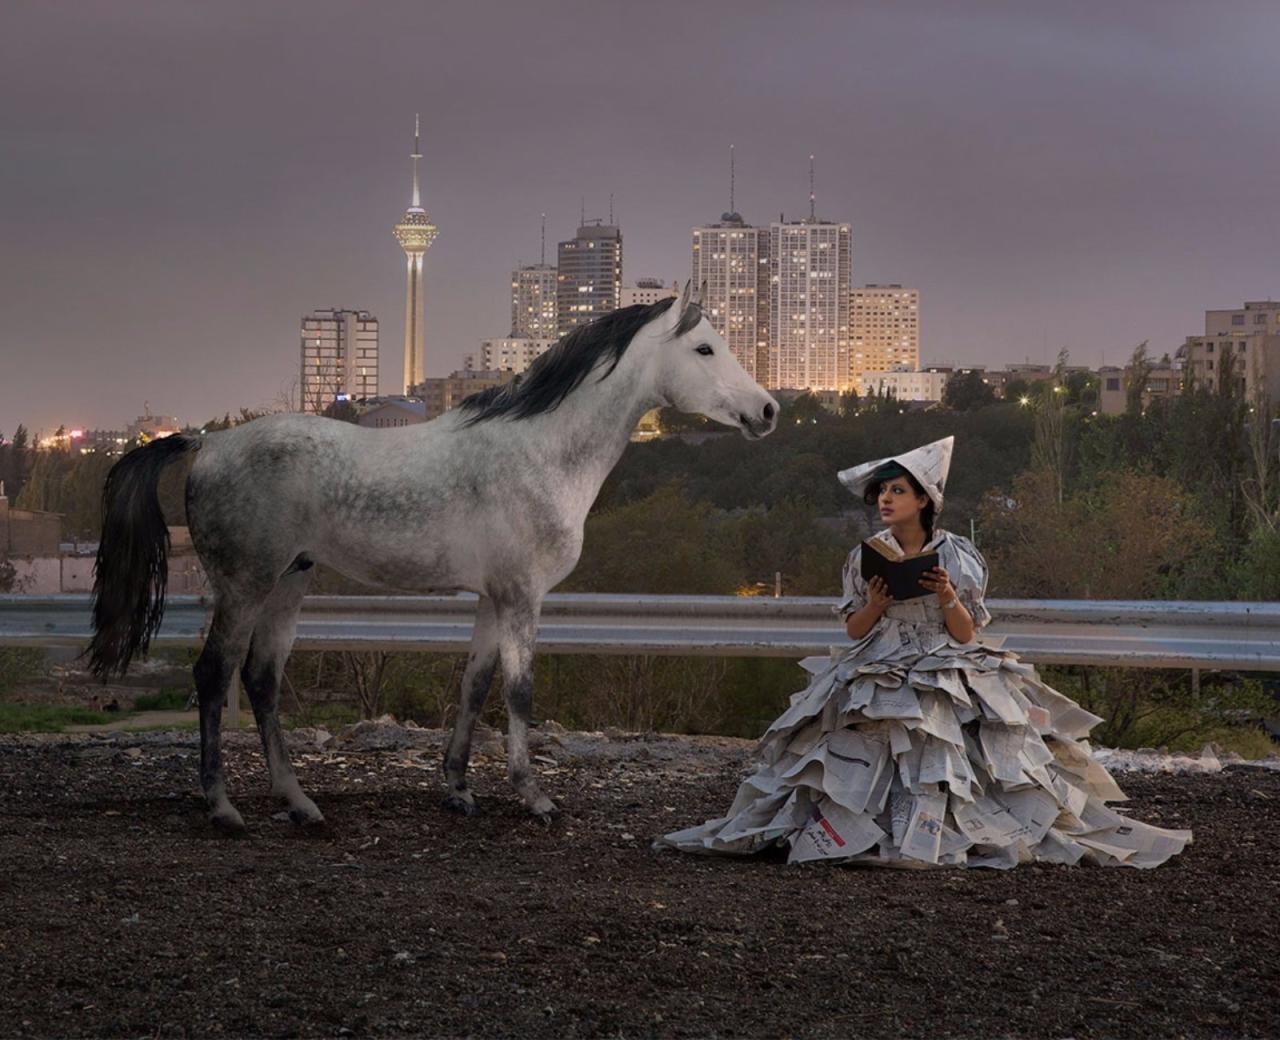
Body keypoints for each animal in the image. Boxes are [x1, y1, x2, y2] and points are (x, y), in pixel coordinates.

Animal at [90, 284, 778, 829]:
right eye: (705, 349)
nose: (768, 410)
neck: (542, 450)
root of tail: (207, 444)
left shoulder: (492, 599)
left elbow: (474, 686)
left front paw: (458, 788)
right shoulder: (521, 597)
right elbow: (520, 692)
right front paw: (533, 797)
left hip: (289, 581)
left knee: (262, 678)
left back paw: (300, 803)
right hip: (245, 586)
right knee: (214, 674)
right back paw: (223, 807)